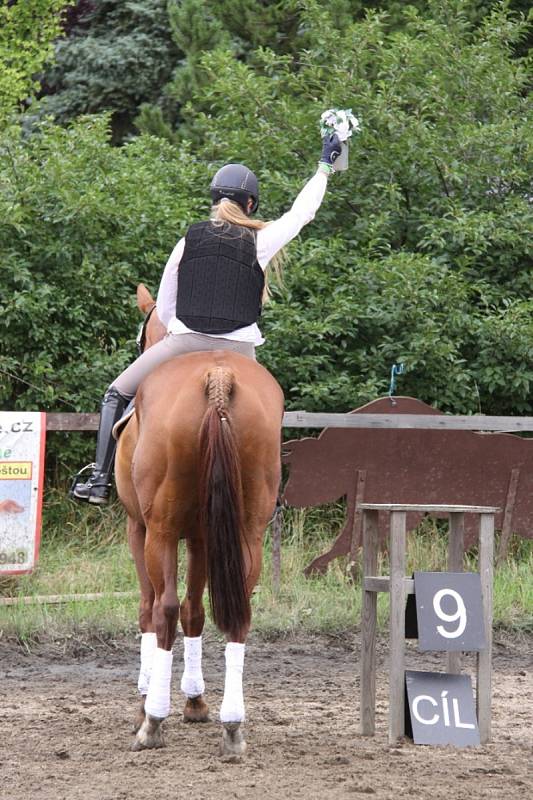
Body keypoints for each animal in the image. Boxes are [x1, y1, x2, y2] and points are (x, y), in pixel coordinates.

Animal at [115, 284, 284, 752]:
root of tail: (218, 376)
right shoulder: (204, 537)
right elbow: (196, 611)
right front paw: (195, 702)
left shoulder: (140, 529)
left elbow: (150, 608)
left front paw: (146, 702)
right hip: (245, 532)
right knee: (237, 612)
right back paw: (232, 725)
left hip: (160, 531)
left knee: (164, 608)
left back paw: (153, 721)